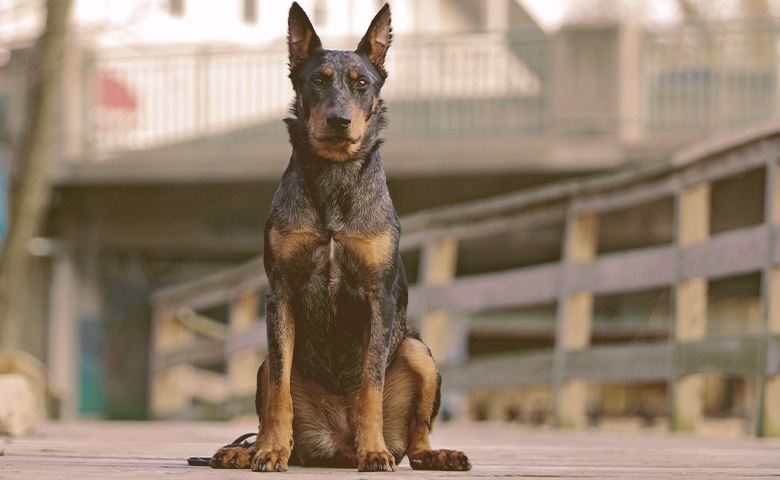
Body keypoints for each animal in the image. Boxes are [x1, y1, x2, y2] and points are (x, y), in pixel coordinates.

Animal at [207, 0, 472, 472]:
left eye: (361, 83)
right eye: (317, 80)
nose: (338, 120)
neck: (333, 175)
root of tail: (336, 443)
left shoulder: (378, 297)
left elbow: (371, 386)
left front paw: (374, 451)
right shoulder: (281, 293)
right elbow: (279, 394)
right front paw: (270, 450)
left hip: (418, 352)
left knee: (417, 438)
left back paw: (431, 453)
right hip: (264, 364)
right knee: (269, 400)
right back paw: (248, 449)